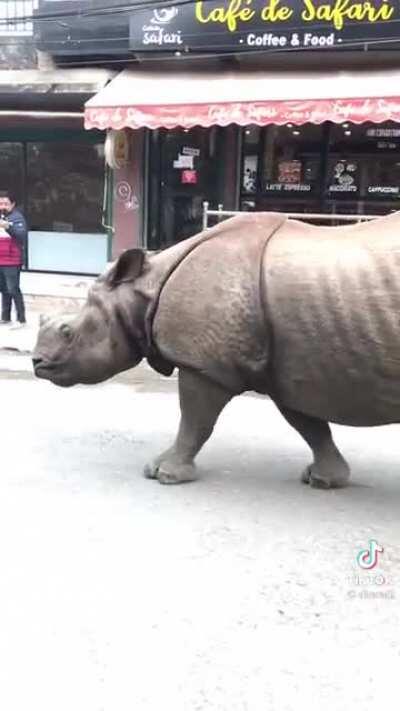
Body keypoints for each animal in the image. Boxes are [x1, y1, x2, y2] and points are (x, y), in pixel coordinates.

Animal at [32, 211, 400, 488]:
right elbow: (308, 425)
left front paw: (164, 473)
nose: (37, 363)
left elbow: (195, 421)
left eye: (68, 332)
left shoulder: (203, 364)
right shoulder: (289, 368)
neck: (143, 290)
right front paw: (325, 479)